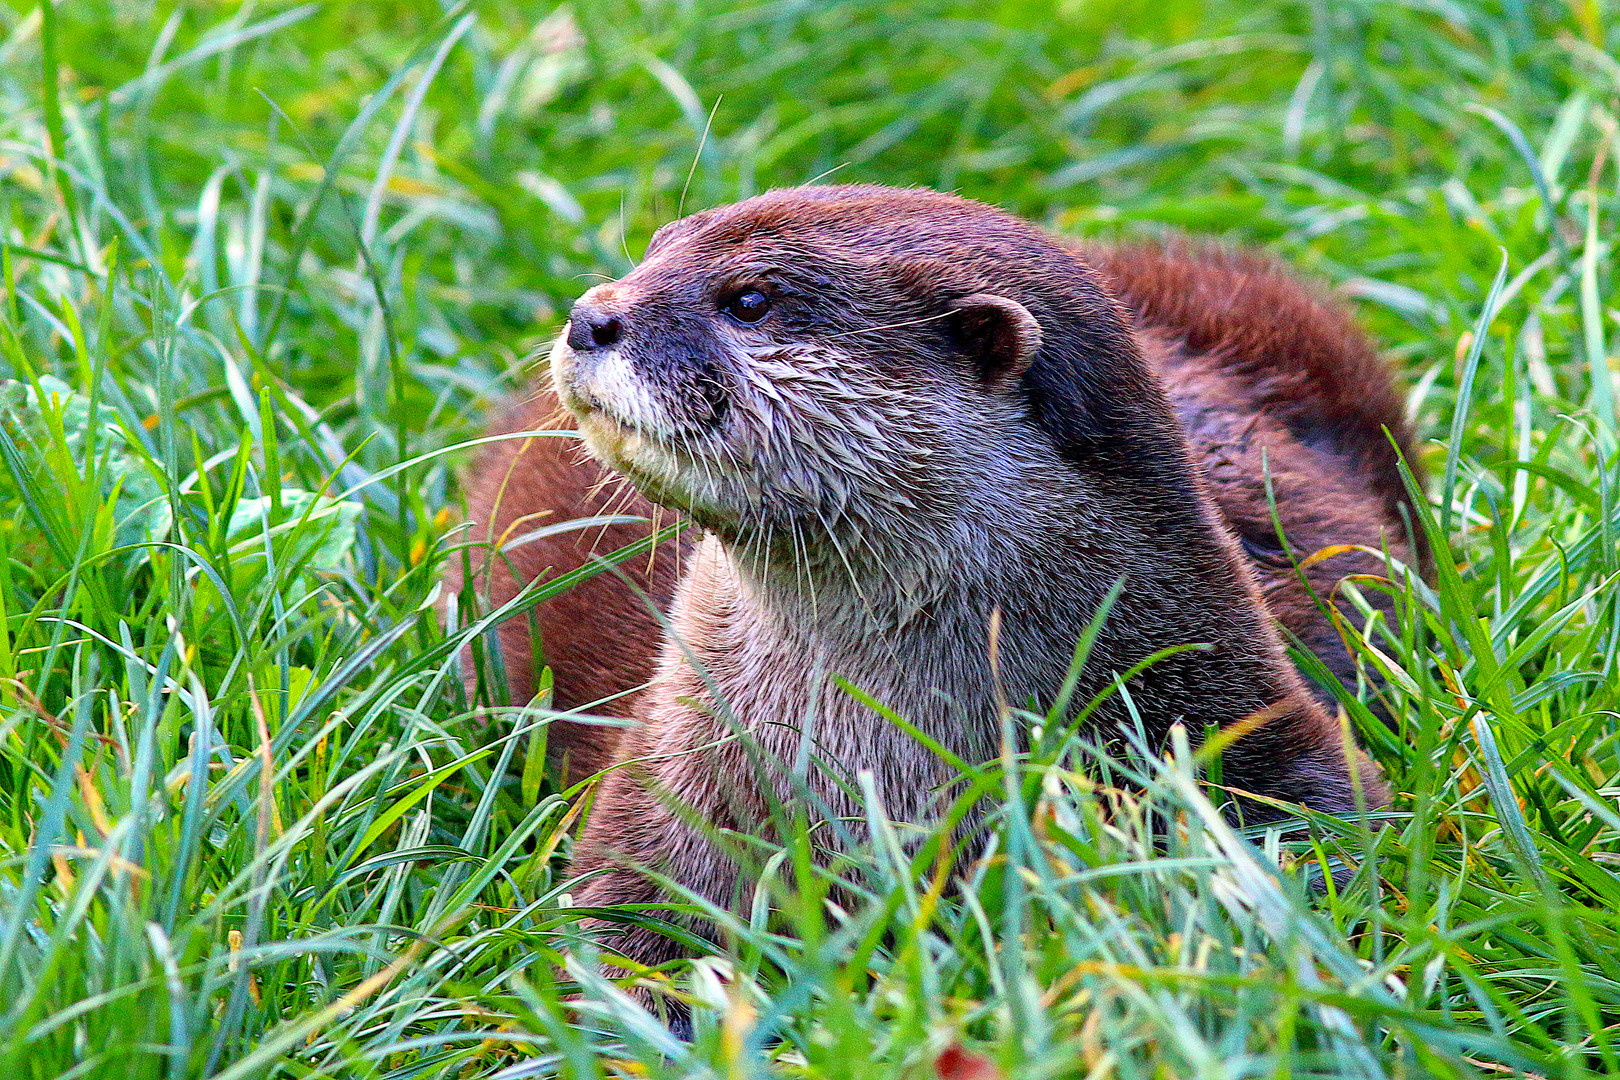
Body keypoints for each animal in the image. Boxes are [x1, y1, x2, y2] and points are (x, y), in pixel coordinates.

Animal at [453, 181, 1419, 990]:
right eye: (657, 247)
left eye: (750, 299)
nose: (591, 316)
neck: (882, 750)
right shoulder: (667, 782)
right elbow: (625, 936)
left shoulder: (1234, 708)